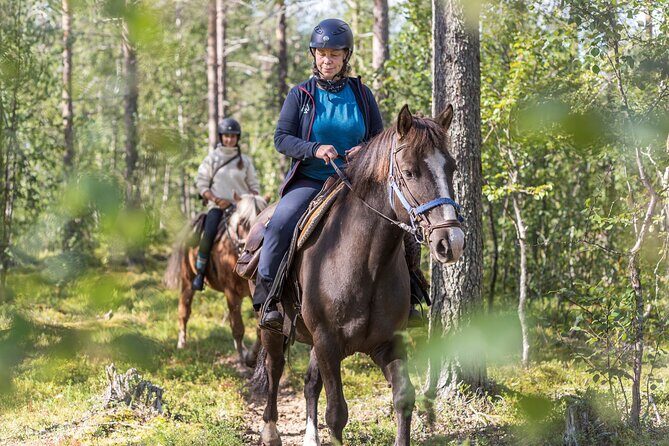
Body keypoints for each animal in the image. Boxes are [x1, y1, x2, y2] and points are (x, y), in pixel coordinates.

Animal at [165, 193, 268, 367]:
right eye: (243, 222)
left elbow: (260, 328)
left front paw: (251, 357)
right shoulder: (231, 293)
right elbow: (238, 328)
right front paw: (242, 360)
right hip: (187, 281)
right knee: (184, 311)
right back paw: (182, 343)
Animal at [251, 104, 465, 446]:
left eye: (451, 168)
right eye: (409, 172)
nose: (451, 241)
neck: (366, 265)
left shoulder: (387, 343)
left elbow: (404, 398)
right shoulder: (327, 343)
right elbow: (336, 413)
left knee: (310, 383)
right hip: (274, 330)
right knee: (274, 370)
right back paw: (271, 432)